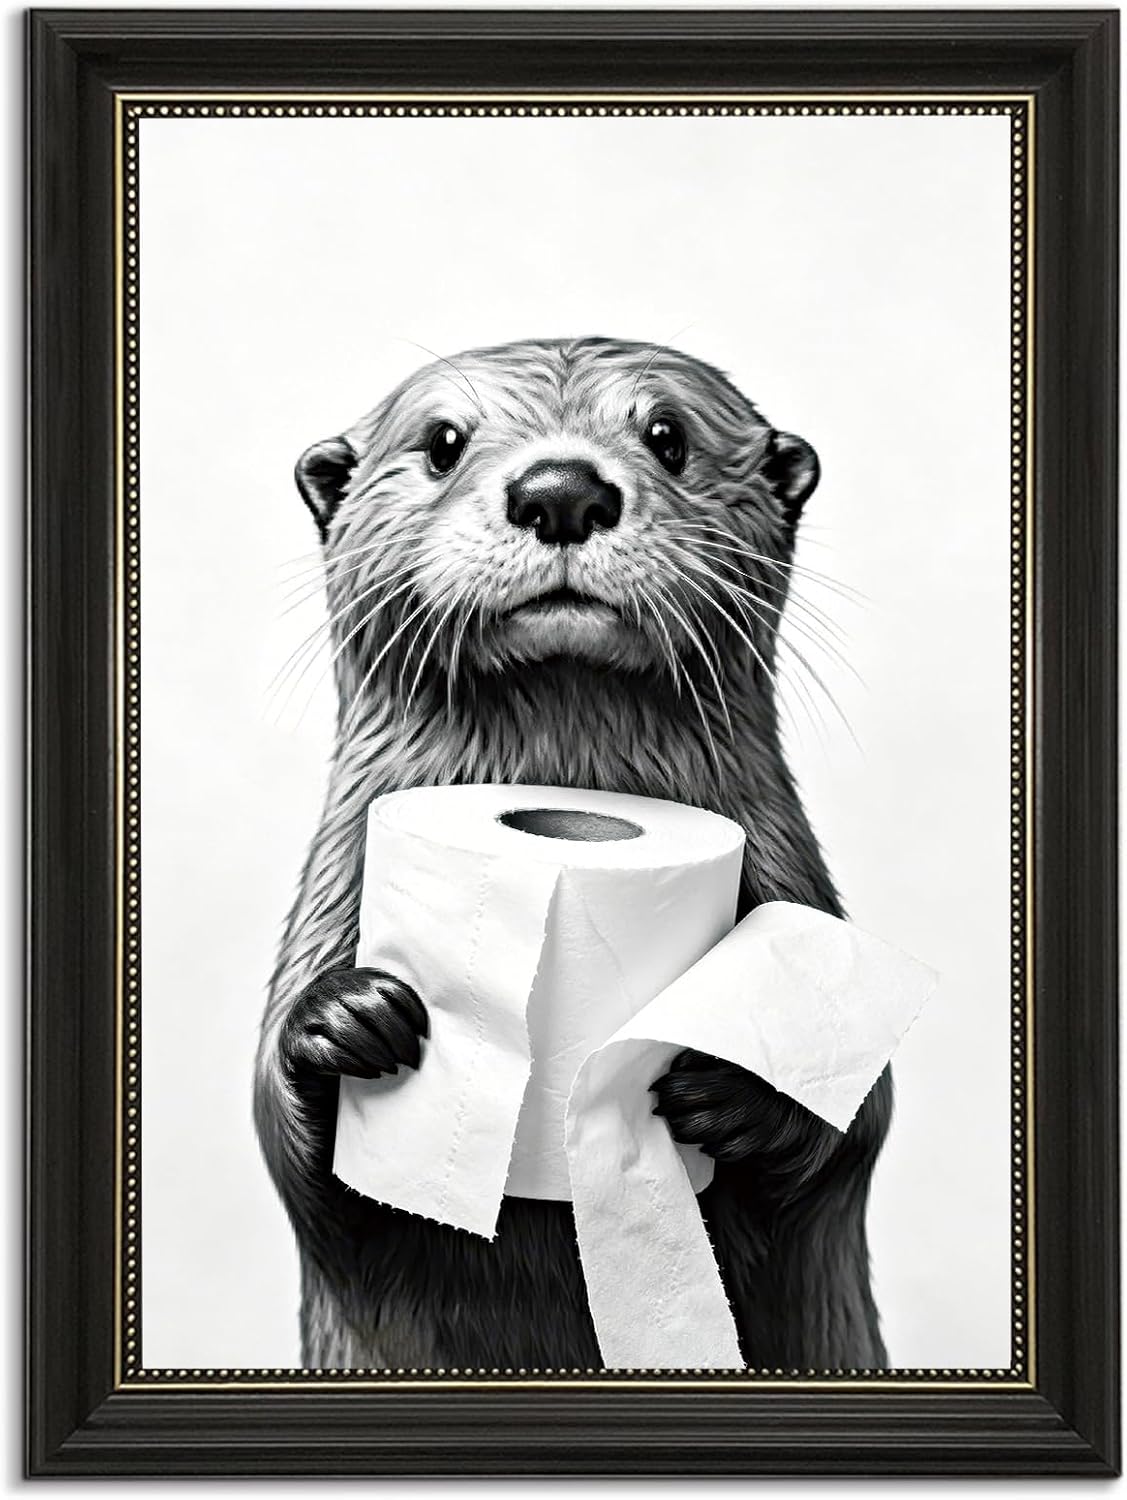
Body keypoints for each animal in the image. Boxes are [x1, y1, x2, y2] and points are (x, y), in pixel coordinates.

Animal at [254, 337, 892, 1371]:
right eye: (442, 441)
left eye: (668, 434)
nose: (560, 488)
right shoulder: (328, 896)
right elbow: (290, 1148)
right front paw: (346, 1021)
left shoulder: (795, 886)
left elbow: (853, 1120)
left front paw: (736, 1085)